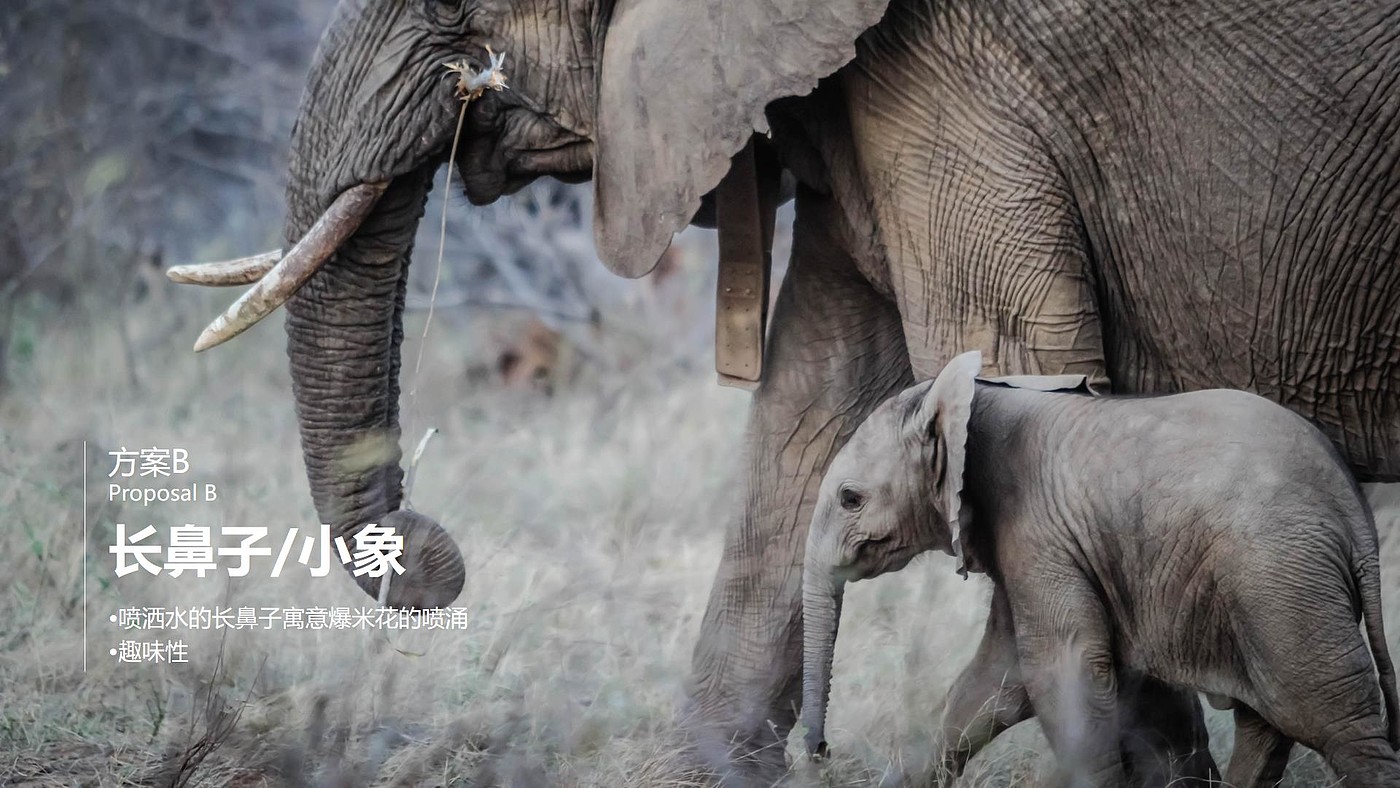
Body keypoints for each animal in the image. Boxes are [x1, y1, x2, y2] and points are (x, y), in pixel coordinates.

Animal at [800, 352, 1400, 788]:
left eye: (851, 499)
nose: (822, 753)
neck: (973, 396)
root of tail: (1353, 510)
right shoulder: (1034, 544)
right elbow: (994, 683)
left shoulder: (1039, 530)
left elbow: (1062, 672)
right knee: (1269, 724)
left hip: (1280, 581)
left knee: (1334, 723)